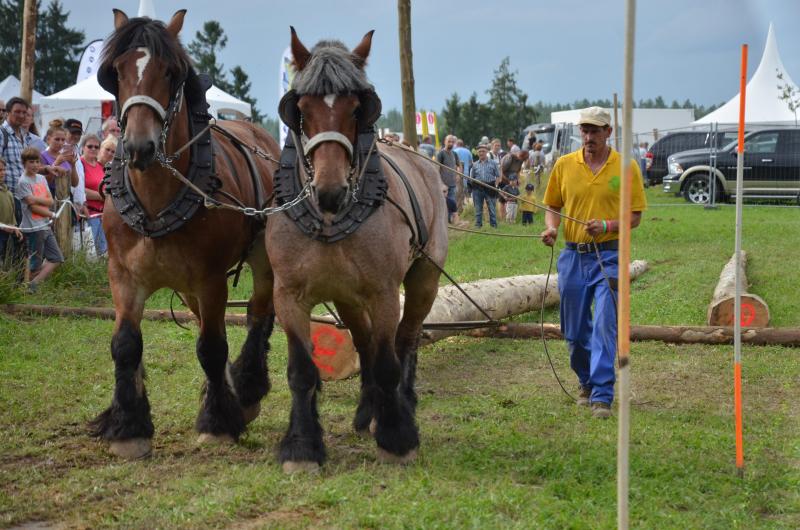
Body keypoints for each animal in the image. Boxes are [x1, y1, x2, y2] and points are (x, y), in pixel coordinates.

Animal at [88, 8, 280, 456]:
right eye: (117, 71)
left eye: (170, 72)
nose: (139, 146)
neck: (157, 200)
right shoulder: (123, 276)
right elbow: (126, 345)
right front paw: (128, 427)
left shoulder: (211, 278)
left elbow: (211, 346)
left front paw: (218, 422)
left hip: (260, 260)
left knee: (259, 313)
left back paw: (246, 392)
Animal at [266, 28, 446, 468]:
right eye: (303, 107)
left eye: (356, 108)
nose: (330, 191)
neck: (330, 219)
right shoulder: (288, 295)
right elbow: (301, 370)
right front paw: (302, 445)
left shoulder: (384, 293)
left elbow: (387, 363)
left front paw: (397, 436)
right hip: (346, 295)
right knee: (363, 343)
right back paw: (368, 411)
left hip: (424, 280)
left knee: (406, 339)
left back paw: (402, 404)